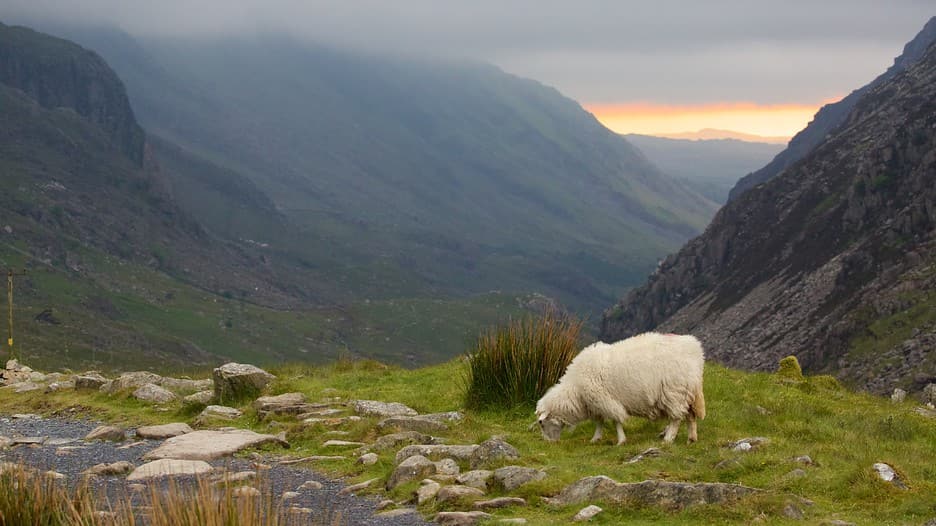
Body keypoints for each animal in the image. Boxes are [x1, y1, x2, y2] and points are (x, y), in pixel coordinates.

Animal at [532, 334, 704, 446]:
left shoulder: (605, 400)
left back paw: (668, 439)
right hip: (688, 393)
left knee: (676, 418)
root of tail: (695, 350)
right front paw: (596, 438)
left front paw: (621, 440)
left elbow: (616, 421)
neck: (575, 391)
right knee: (690, 417)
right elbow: (599, 422)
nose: (548, 443)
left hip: (674, 392)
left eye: (541, 423)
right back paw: (691, 439)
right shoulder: (596, 404)